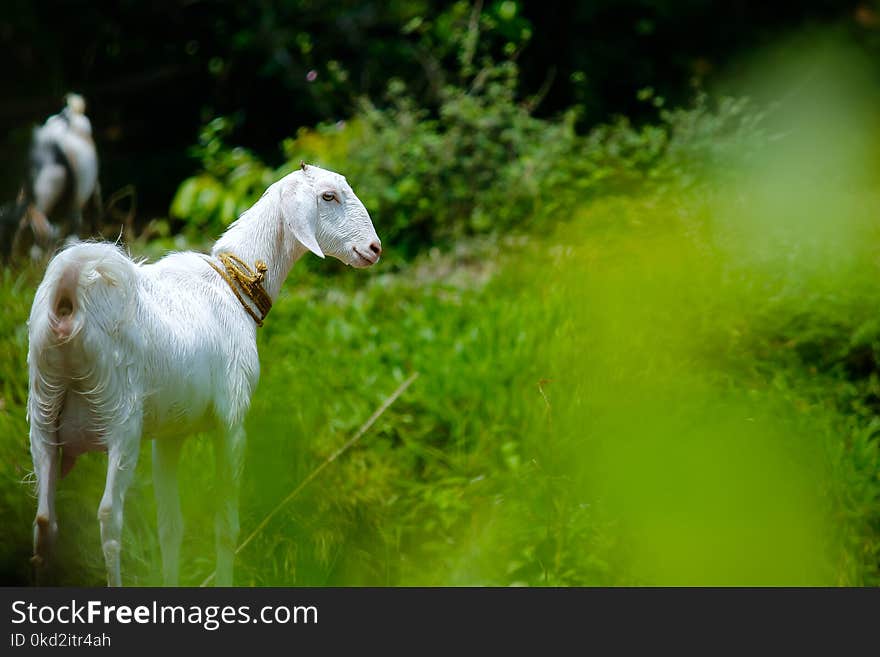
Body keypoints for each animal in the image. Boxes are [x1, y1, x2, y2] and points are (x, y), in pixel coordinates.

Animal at [26, 164, 378, 584]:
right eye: (328, 196)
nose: (374, 248)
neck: (232, 287)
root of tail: (68, 297)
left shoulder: (168, 434)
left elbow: (170, 527)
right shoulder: (232, 419)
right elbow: (225, 525)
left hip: (44, 414)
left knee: (44, 522)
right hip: (120, 419)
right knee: (109, 516)